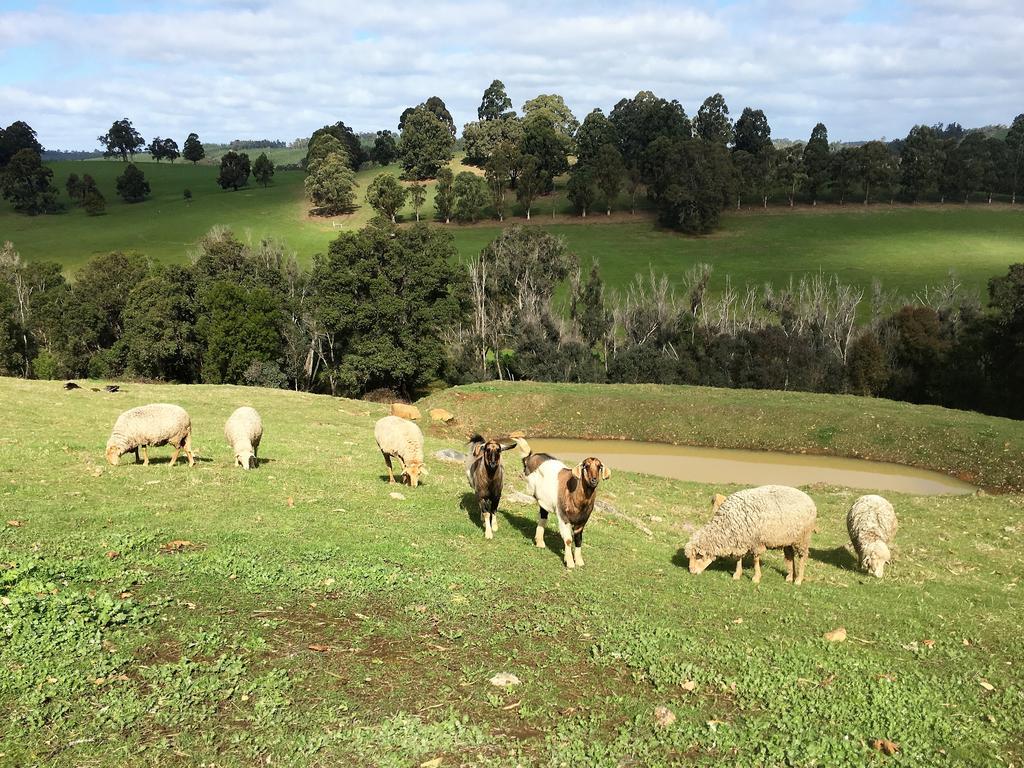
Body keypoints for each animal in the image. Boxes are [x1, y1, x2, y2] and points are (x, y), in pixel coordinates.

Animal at [516, 438, 610, 573]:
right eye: (586, 466)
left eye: (599, 467)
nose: (594, 480)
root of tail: (530, 457)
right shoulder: (564, 517)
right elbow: (568, 540)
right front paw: (569, 562)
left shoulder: (582, 521)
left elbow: (578, 539)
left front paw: (579, 562)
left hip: (545, 502)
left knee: (543, 516)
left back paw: (540, 543)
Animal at [684, 487, 819, 589]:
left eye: (698, 556)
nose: (691, 572)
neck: (727, 524)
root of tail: (808, 498)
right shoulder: (740, 539)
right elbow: (738, 558)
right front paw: (737, 574)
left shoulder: (755, 541)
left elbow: (755, 559)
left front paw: (756, 577)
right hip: (788, 538)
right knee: (790, 556)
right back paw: (790, 577)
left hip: (803, 538)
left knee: (802, 557)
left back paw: (798, 580)